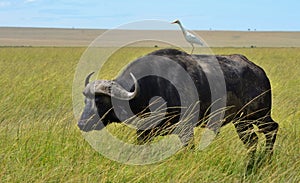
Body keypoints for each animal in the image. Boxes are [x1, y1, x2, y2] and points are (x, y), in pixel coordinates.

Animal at [78, 48, 278, 168]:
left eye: (101, 101)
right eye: (86, 100)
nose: (82, 124)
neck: (150, 87)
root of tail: (259, 71)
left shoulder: (185, 128)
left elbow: (189, 148)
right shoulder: (145, 132)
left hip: (259, 115)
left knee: (271, 130)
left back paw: (267, 159)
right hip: (242, 121)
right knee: (252, 141)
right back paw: (250, 163)